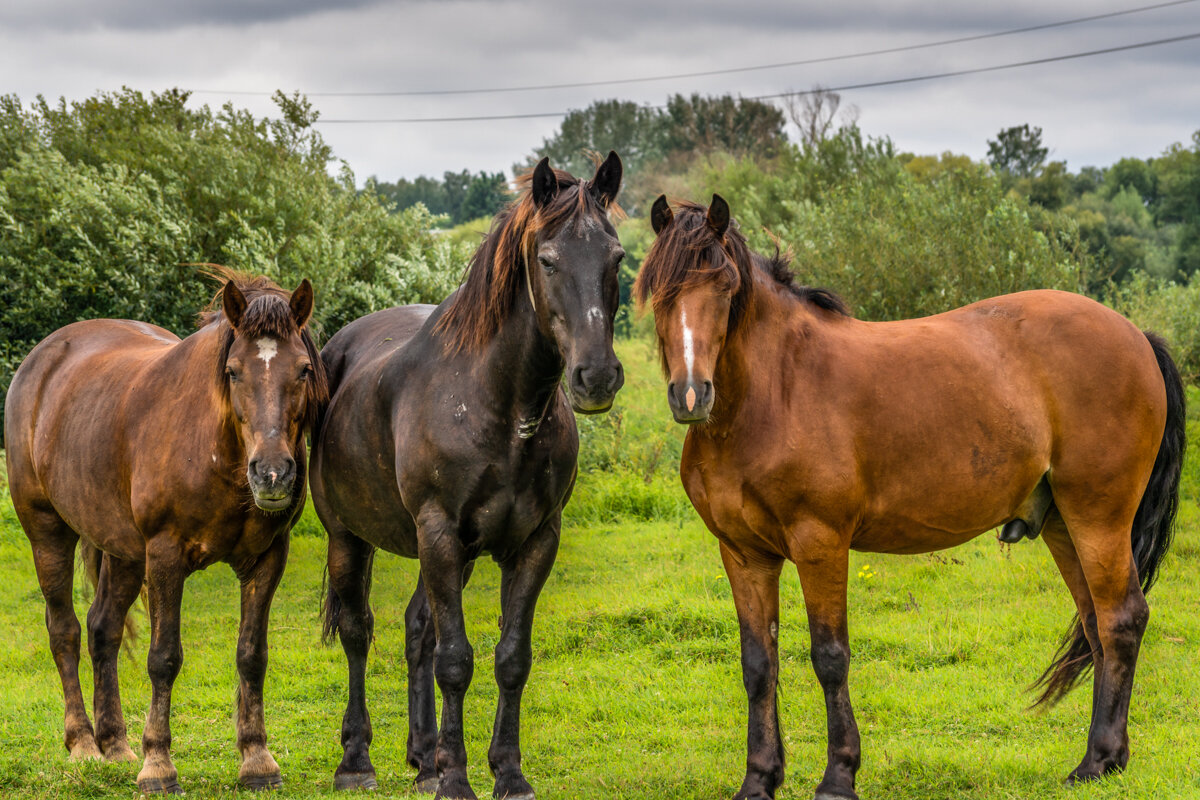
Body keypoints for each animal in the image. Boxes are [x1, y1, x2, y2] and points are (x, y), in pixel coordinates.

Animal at [3, 271, 328, 796]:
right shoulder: (165, 556)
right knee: (65, 630)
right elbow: (164, 658)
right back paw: (84, 744)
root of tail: (43, 358)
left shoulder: (266, 559)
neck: (216, 449)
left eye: (301, 370)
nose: (273, 474)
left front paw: (257, 759)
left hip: (122, 551)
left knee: (103, 629)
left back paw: (115, 743)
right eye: (233, 371)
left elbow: (252, 656)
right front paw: (158, 766)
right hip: (47, 530)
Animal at [309, 153, 628, 796]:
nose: (596, 376)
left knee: (417, 631)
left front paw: (506, 772)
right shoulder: (440, 535)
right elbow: (455, 660)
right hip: (349, 537)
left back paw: (423, 757)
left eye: (617, 257)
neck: (501, 408)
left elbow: (510, 658)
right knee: (358, 631)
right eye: (548, 260)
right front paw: (457, 779)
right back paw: (357, 761)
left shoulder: (533, 542)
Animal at [633, 195, 1185, 800]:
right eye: (657, 289)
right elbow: (759, 664)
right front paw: (759, 779)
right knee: (1096, 626)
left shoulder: (820, 543)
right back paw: (1107, 759)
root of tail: (1136, 336)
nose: (691, 395)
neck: (775, 392)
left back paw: (1096, 759)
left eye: (726, 285)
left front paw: (839, 775)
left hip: (1099, 517)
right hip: (1065, 524)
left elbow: (829, 657)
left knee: (1121, 620)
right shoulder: (744, 554)